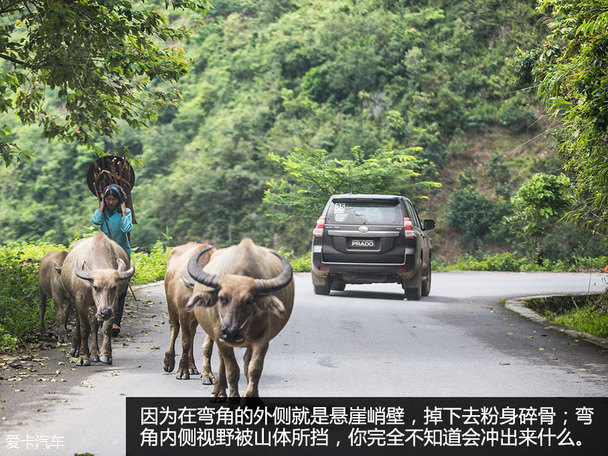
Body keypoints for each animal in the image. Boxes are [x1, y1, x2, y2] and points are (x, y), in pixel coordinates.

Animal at [59, 233, 135, 366]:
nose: (105, 312)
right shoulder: (80, 302)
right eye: (95, 287)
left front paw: (105, 354)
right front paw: (83, 357)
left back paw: (95, 353)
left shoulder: (113, 305)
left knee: (94, 326)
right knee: (79, 323)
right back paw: (76, 349)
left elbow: (106, 328)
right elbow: (84, 328)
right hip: (74, 300)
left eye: (114, 287)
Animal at [164, 240, 216, 382]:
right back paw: (168, 362)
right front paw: (182, 371)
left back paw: (192, 367)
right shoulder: (184, 313)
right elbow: (185, 342)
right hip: (171, 306)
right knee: (174, 328)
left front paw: (207, 374)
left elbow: (207, 347)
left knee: (192, 334)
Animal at [185, 237, 294, 400]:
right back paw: (219, 390)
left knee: (246, 361)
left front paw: (251, 396)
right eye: (221, 298)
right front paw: (233, 396)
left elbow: (254, 368)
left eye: (249, 301)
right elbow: (232, 370)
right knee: (224, 361)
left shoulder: (262, 338)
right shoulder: (220, 336)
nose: (230, 332)